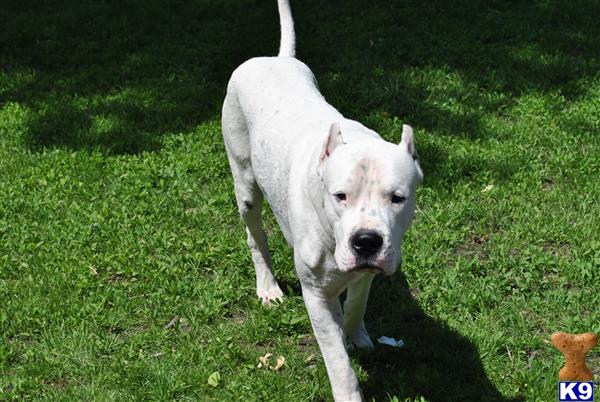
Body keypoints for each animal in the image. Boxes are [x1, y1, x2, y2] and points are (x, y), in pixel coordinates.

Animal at [220, 1, 422, 400]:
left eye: (398, 198)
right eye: (340, 196)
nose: (366, 241)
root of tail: (276, 58)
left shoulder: (366, 273)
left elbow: (357, 304)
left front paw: (357, 335)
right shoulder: (315, 296)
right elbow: (338, 361)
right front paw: (347, 386)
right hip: (245, 182)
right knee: (255, 235)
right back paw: (267, 286)